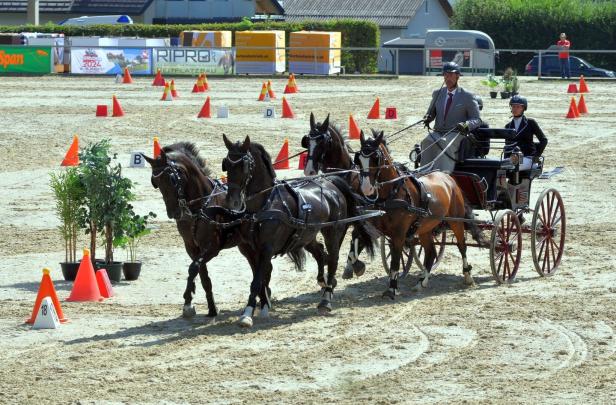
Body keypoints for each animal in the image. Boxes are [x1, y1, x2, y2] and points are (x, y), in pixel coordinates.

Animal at [142, 144, 262, 320]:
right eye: (155, 182)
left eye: (172, 179)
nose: (173, 213)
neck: (200, 208)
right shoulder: (192, 248)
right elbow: (203, 277)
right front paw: (211, 309)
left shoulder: (211, 248)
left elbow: (193, 269)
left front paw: (187, 302)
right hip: (245, 246)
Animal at [224, 134, 372, 326]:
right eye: (226, 164)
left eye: (244, 165)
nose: (232, 202)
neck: (264, 204)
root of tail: (331, 183)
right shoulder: (250, 250)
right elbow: (261, 278)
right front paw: (263, 305)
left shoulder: (266, 248)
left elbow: (257, 281)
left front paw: (247, 314)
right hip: (306, 235)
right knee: (320, 253)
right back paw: (323, 282)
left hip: (333, 231)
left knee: (332, 259)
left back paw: (326, 300)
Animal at [300, 112, 376, 280]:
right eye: (308, 141)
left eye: (323, 142)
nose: (309, 170)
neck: (345, 175)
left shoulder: (347, 220)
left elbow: (346, 241)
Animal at [352, 130, 482, 296]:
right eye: (359, 159)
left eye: (376, 158)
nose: (366, 188)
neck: (394, 193)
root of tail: (448, 178)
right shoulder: (378, 227)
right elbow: (358, 236)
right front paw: (356, 265)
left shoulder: (399, 234)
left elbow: (395, 260)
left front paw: (392, 288)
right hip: (425, 228)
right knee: (431, 252)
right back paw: (421, 281)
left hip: (456, 221)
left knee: (462, 246)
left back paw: (467, 276)